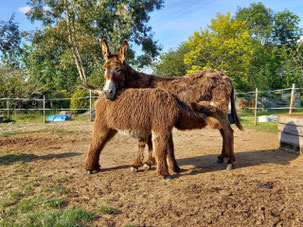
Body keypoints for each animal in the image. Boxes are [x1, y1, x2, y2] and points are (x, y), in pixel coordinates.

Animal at [85, 88, 221, 178]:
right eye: (204, 110)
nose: (220, 123)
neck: (177, 108)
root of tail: (101, 96)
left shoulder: (167, 129)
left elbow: (170, 149)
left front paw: (176, 169)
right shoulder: (161, 128)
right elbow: (161, 150)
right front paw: (164, 174)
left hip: (111, 129)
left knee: (100, 145)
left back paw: (96, 166)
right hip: (102, 125)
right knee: (94, 143)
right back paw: (89, 168)